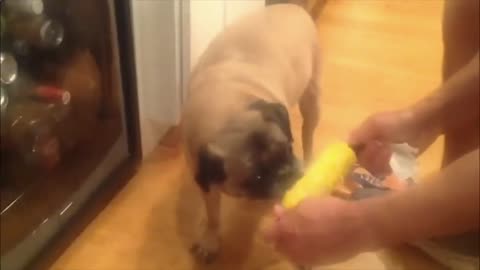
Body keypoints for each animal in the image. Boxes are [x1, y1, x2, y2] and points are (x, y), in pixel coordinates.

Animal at [182, 3, 320, 266]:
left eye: (288, 148)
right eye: (255, 178)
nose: (287, 173)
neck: (227, 111)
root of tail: (293, 7)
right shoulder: (206, 182)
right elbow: (213, 216)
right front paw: (211, 239)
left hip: (312, 96)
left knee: (309, 131)